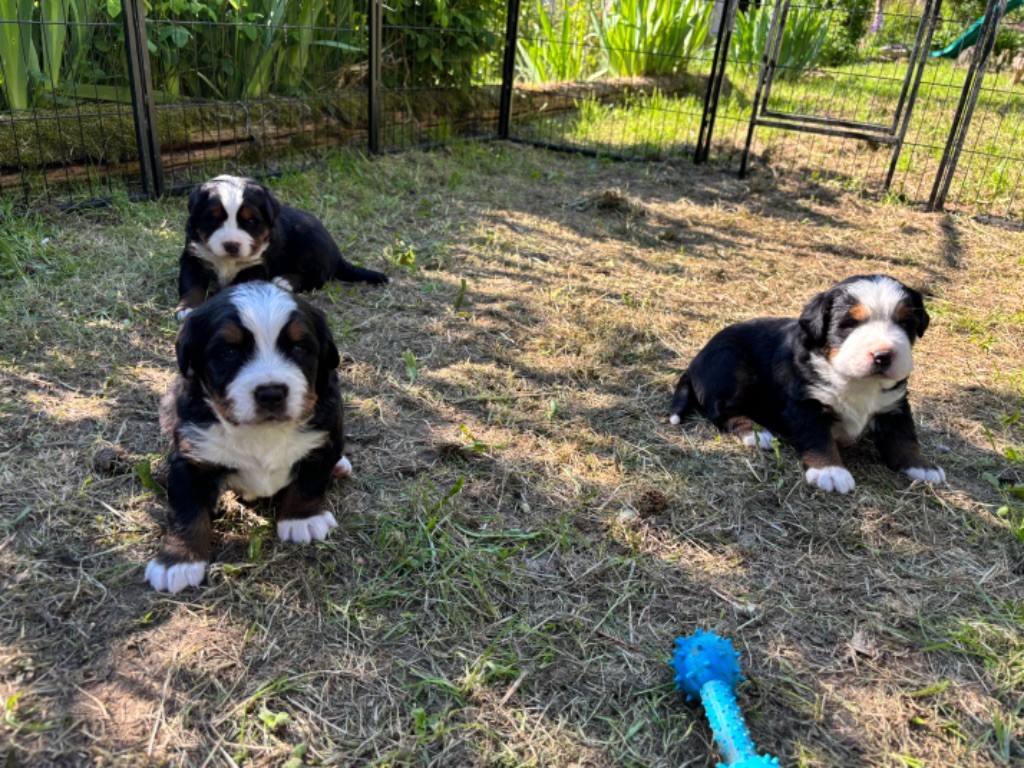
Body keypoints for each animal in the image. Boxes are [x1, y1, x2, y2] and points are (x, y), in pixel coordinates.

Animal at [144, 282, 352, 593]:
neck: (261, 433)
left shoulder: (325, 437)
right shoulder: (191, 459)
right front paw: (178, 561)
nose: (271, 393)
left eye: (299, 348)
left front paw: (303, 519)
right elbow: (187, 510)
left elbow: (310, 482)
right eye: (228, 351)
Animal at [176, 174, 387, 319]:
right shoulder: (193, 258)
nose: (231, 245)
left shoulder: (256, 266)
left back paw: (285, 281)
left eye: (250, 221)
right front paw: (188, 308)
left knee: (318, 276)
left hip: (309, 239)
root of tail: (336, 253)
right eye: (213, 218)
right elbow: (191, 285)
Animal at [667, 274, 946, 493]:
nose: (883, 355)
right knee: (722, 411)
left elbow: (904, 436)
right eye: (849, 324)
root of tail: (696, 361)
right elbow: (817, 437)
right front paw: (830, 471)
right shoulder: (805, 403)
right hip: (734, 367)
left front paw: (921, 465)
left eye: (906, 323)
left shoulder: (894, 405)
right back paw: (757, 433)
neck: (855, 380)